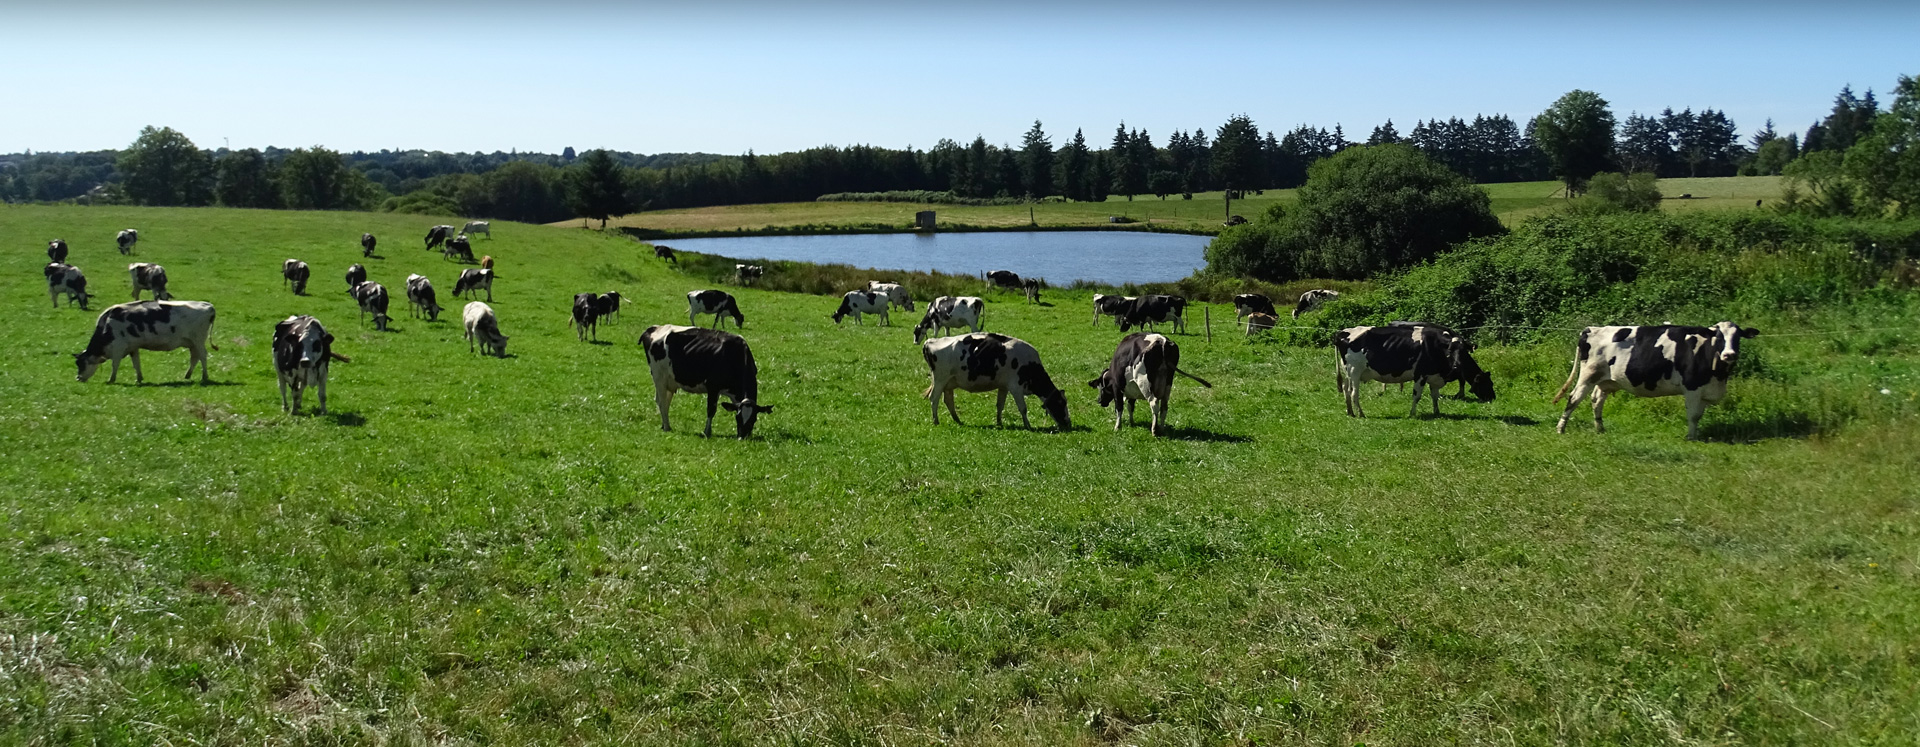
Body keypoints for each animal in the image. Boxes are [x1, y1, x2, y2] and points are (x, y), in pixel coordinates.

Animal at [73, 300, 216, 385]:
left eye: (81, 364)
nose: (78, 378)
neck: (107, 325)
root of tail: (208, 306)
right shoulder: (133, 347)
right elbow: (136, 364)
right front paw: (139, 379)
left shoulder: (118, 347)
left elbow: (115, 364)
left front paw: (111, 379)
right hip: (192, 343)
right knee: (195, 358)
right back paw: (187, 375)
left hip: (198, 340)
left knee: (203, 356)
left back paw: (204, 376)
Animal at [640, 324, 774, 438]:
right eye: (738, 418)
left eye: (754, 419)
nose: (743, 437)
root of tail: (654, 328)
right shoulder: (713, 387)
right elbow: (711, 410)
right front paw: (707, 432)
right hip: (659, 377)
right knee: (662, 402)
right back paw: (667, 427)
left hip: (669, 382)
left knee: (664, 402)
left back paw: (664, 425)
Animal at [921, 332, 1070, 431]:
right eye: (1061, 403)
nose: (1069, 424)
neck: (1030, 365)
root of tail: (930, 341)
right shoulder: (1016, 387)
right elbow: (1023, 408)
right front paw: (1028, 425)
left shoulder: (1004, 386)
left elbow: (1000, 405)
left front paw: (999, 423)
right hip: (940, 380)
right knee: (934, 398)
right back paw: (936, 421)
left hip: (949, 383)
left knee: (948, 400)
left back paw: (958, 420)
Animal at [1334, 324, 1495, 418]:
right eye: (1450, 351)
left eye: (1463, 351)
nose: (1493, 397)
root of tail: (1343, 332)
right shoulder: (1420, 375)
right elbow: (1417, 396)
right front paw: (1412, 414)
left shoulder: (1434, 377)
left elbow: (1435, 396)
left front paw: (1437, 413)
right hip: (1355, 371)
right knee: (1354, 393)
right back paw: (1361, 414)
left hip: (1348, 373)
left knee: (1346, 390)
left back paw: (1350, 412)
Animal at [1552, 323, 1760, 440]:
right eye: (1718, 336)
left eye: (1738, 337)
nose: (1729, 354)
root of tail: (1592, 329)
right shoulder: (1692, 387)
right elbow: (1693, 415)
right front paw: (1691, 438)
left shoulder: (1704, 390)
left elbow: (1698, 416)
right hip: (1588, 374)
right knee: (1573, 398)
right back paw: (1561, 428)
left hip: (1606, 380)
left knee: (1596, 400)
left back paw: (1600, 428)